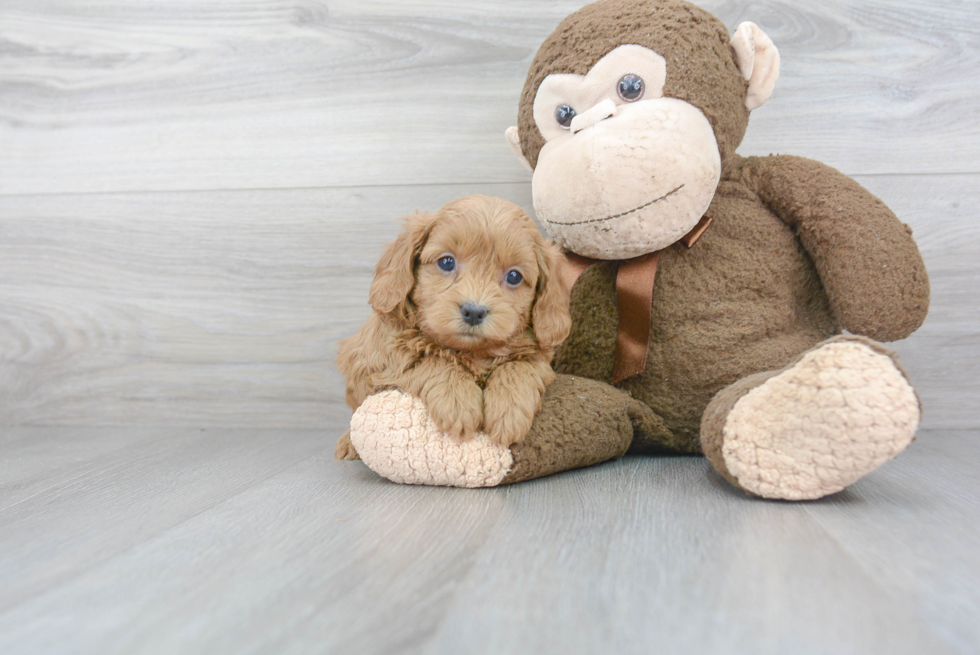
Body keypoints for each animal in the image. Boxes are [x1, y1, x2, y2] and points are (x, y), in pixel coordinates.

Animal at [334, 195, 572, 462]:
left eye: (514, 276)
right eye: (447, 262)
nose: (474, 311)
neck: (471, 352)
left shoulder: (538, 357)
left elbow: (518, 366)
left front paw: (509, 411)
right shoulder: (382, 356)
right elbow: (428, 358)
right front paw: (458, 401)